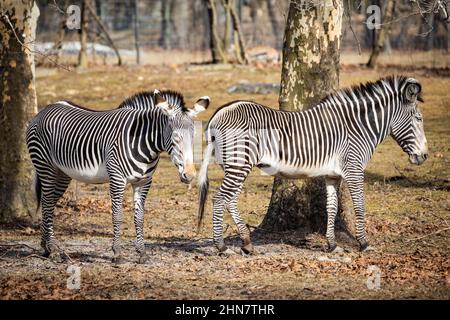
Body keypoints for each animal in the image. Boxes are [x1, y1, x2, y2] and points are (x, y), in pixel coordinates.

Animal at [26, 89, 211, 262]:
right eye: (175, 137)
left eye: (193, 136)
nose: (189, 174)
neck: (143, 144)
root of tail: (46, 108)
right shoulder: (117, 178)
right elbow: (117, 216)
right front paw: (117, 253)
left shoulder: (144, 182)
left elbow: (139, 217)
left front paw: (142, 252)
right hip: (46, 166)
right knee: (47, 203)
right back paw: (53, 249)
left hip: (63, 173)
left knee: (48, 203)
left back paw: (46, 247)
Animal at [198, 75, 428, 255]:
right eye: (418, 118)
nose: (424, 156)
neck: (358, 127)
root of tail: (218, 114)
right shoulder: (354, 169)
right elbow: (360, 205)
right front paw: (364, 243)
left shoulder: (333, 175)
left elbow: (332, 208)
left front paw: (332, 245)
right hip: (239, 165)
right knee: (219, 199)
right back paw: (221, 247)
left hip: (234, 166)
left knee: (230, 200)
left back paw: (246, 243)